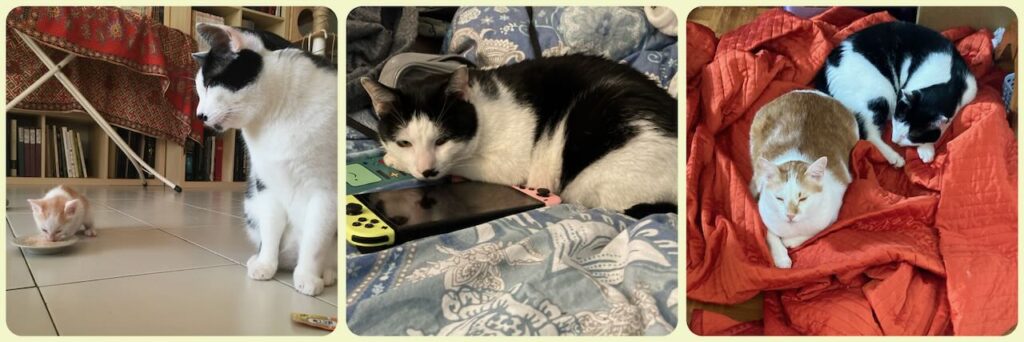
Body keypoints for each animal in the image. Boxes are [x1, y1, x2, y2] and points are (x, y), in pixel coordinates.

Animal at [360, 54, 679, 218]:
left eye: (442, 140)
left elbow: (462, 164)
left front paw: (394, 161)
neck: (481, 108)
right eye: (405, 142)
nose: (427, 170)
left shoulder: (508, 164)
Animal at [815, 20, 974, 165]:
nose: (895, 140)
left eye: (911, 135)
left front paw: (926, 147)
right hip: (880, 93)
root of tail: (825, 71)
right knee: (869, 135)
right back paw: (894, 158)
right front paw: (927, 149)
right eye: (897, 121)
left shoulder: (970, 89)